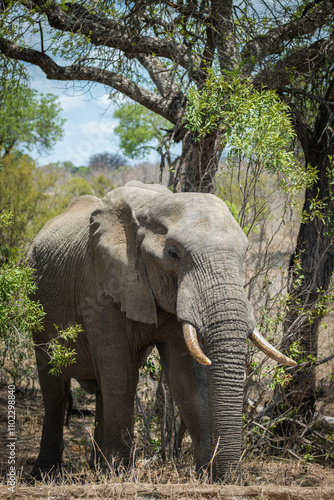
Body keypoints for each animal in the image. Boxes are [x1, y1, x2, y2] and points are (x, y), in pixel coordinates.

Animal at [26, 182, 294, 482]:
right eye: (173, 254)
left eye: (245, 254)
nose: (230, 479)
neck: (153, 205)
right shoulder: (98, 291)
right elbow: (121, 375)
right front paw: (121, 476)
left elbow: (184, 378)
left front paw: (204, 476)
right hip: (37, 305)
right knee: (55, 388)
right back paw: (46, 475)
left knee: (100, 388)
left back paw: (98, 468)